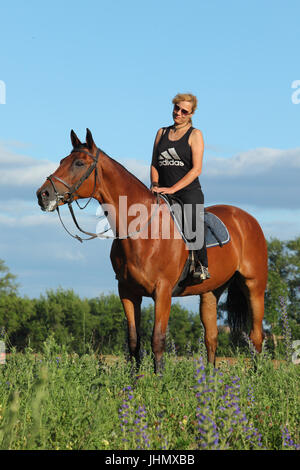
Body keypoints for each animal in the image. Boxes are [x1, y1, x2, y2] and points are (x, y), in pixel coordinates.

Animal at [36, 129, 268, 370]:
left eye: (79, 163)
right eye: (62, 161)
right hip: (210, 292)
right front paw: (135, 379)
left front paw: (158, 379)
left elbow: (157, 339)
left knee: (255, 336)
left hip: (254, 286)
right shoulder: (127, 292)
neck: (142, 231)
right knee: (211, 338)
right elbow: (133, 341)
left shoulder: (162, 292)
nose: (43, 195)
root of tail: (246, 218)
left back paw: (256, 374)